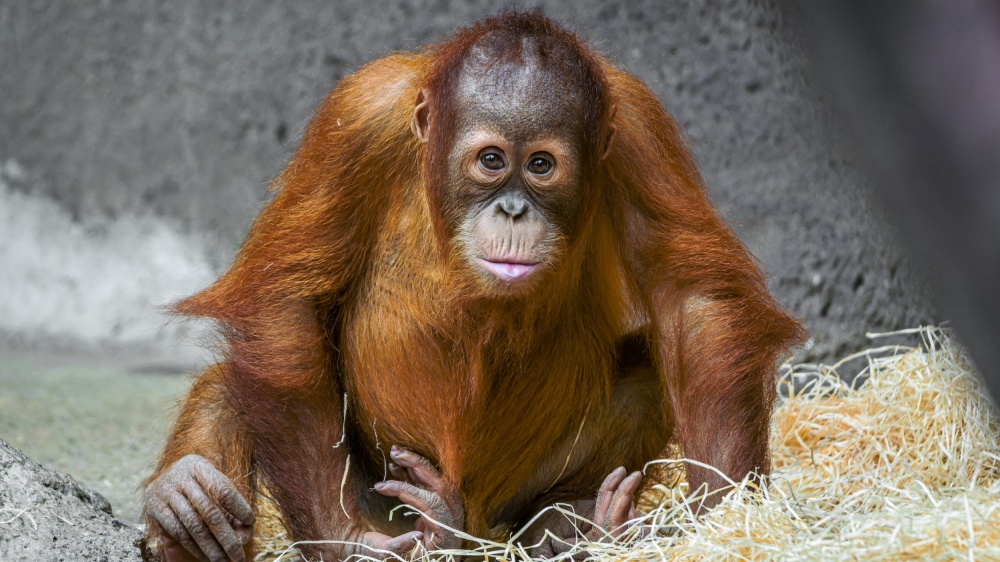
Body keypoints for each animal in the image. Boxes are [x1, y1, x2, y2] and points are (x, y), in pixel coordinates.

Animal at [143, 11, 804, 562]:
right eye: (491, 160)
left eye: (541, 165)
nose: (513, 210)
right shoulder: (358, 116)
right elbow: (287, 297)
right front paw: (347, 543)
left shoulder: (641, 133)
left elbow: (694, 298)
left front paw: (723, 517)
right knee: (244, 381)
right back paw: (188, 505)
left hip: (510, 499)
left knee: (641, 380)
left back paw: (580, 526)